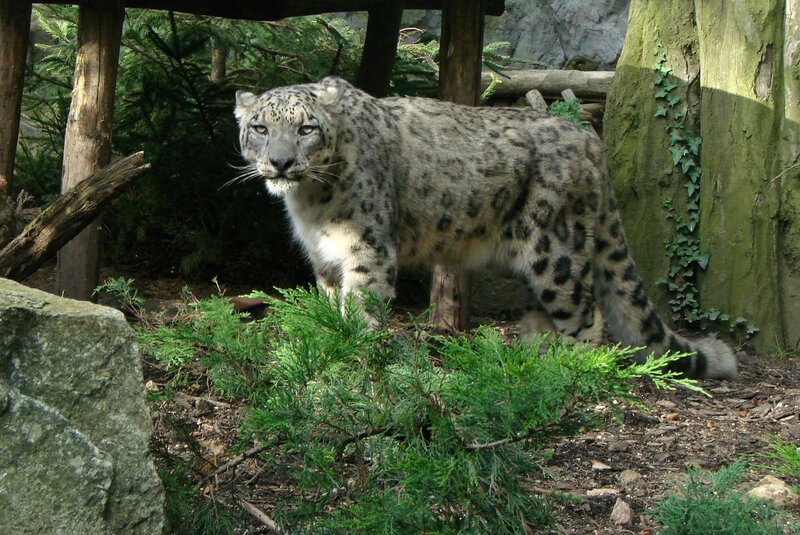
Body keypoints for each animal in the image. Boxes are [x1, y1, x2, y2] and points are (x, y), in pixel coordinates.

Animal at [234, 76, 737, 380]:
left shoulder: (366, 248)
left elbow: (361, 307)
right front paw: (325, 341)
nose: (280, 162)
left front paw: (351, 351)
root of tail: (592, 143)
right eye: (260, 127)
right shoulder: (325, 259)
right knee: (544, 316)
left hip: (555, 252)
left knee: (586, 315)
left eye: (306, 129)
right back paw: (531, 364)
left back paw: (573, 372)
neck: (310, 206)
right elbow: (330, 303)